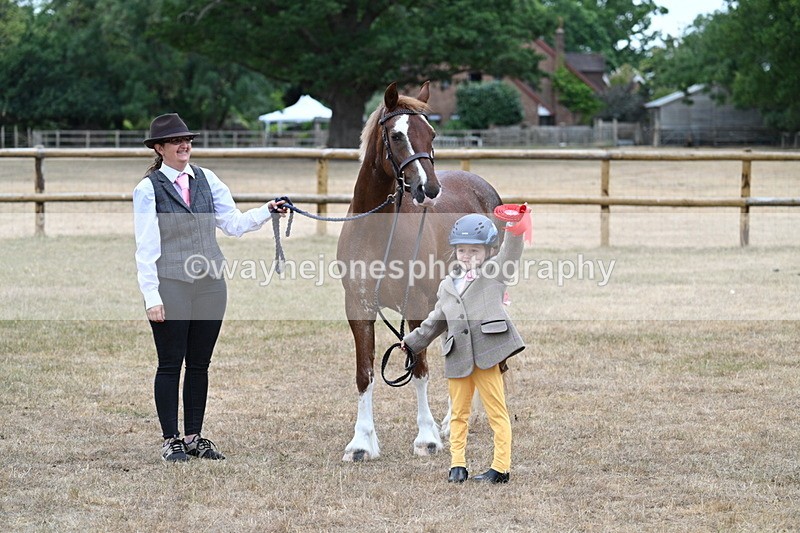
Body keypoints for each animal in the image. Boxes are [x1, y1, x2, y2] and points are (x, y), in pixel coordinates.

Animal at [336, 81, 502, 461]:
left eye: (432, 134)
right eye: (397, 135)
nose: (430, 188)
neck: (378, 233)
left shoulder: (416, 306)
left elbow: (420, 369)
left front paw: (426, 438)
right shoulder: (358, 308)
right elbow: (364, 373)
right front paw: (361, 443)